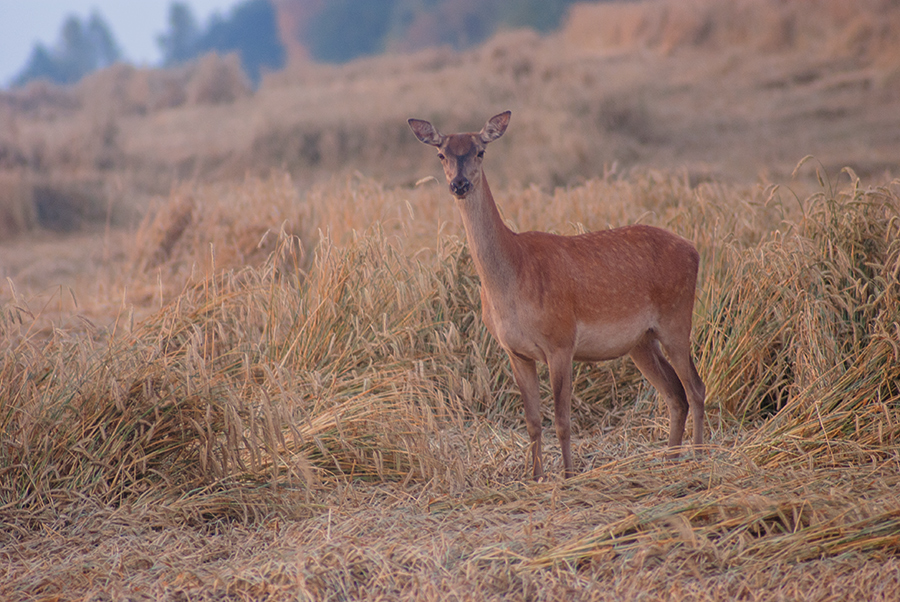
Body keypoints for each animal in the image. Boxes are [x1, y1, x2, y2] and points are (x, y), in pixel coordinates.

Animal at [410, 110, 712, 478]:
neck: (511, 281)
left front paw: (568, 476)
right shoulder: (515, 351)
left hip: (676, 318)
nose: (459, 184)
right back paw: (669, 459)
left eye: (480, 151)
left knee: (695, 388)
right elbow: (533, 420)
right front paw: (536, 476)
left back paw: (697, 457)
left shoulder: (561, 341)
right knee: (674, 393)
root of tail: (694, 250)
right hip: (641, 341)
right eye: (441, 154)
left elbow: (563, 420)